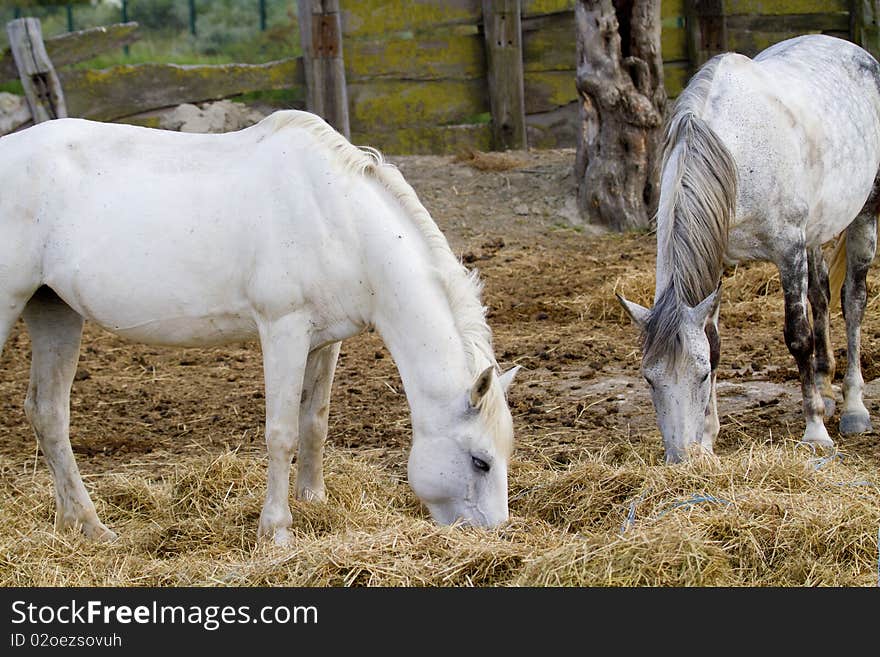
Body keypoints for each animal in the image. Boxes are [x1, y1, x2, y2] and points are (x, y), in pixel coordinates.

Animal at [0, 109, 520, 544]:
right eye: (480, 461)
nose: (495, 533)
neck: (337, 216)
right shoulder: (283, 330)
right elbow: (281, 432)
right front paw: (277, 530)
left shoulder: (325, 342)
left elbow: (314, 422)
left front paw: (315, 501)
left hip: (54, 311)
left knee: (47, 413)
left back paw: (84, 525)